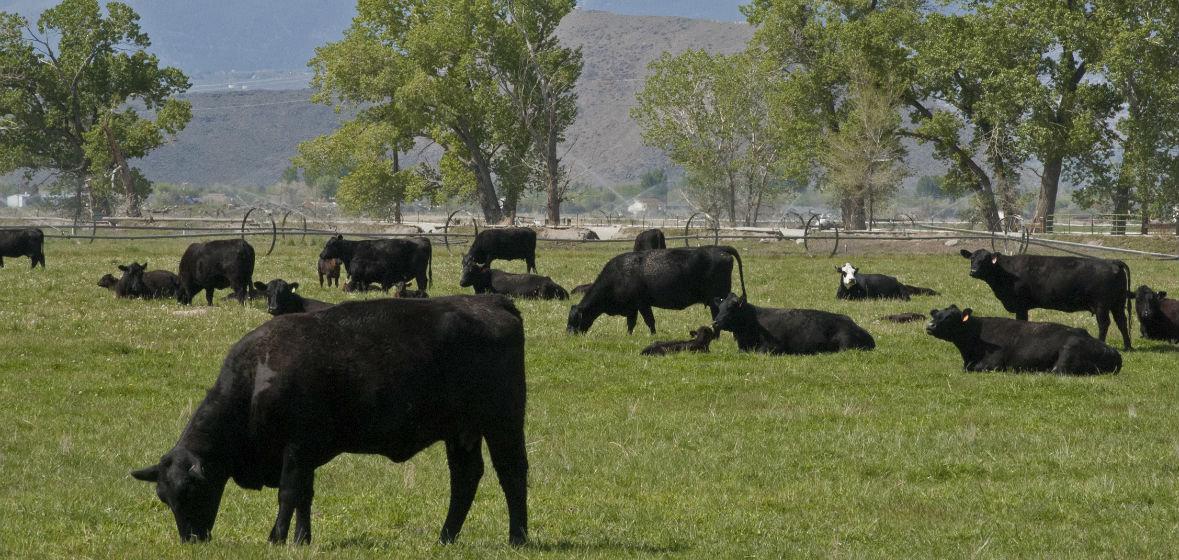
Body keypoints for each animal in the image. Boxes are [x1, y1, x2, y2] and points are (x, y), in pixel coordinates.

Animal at [130, 295, 530, 544]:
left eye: (191, 490)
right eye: (164, 497)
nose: (191, 539)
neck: (257, 375)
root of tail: (493, 302)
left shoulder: (296, 448)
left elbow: (289, 494)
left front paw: (276, 537)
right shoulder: (305, 455)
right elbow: (305, 495)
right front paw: (301, 539)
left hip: (503, 424)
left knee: (512, 473)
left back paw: (518, 538)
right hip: (461, 431)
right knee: (465, 478)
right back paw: (446, 537)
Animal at [568, 245, 745, 332]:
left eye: (574, 320)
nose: (569, 335)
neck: (619, 274)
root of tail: (719, 249)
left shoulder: (642, 304)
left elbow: (649, 321)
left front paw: (653, 336)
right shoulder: (633, 308)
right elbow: (631, 324)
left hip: (718, 298)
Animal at [962, 251, 1136, 351]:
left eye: (985, 259)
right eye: (972, 258)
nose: (973, 271)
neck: (1006, 272)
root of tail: (1112, 261)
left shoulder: (1020, 305)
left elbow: (1022, 321)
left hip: (1102, 305)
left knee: (1104, 323)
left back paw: (1102, 342)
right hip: (1117, 303)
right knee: (1122, 322)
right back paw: (1128, 346)